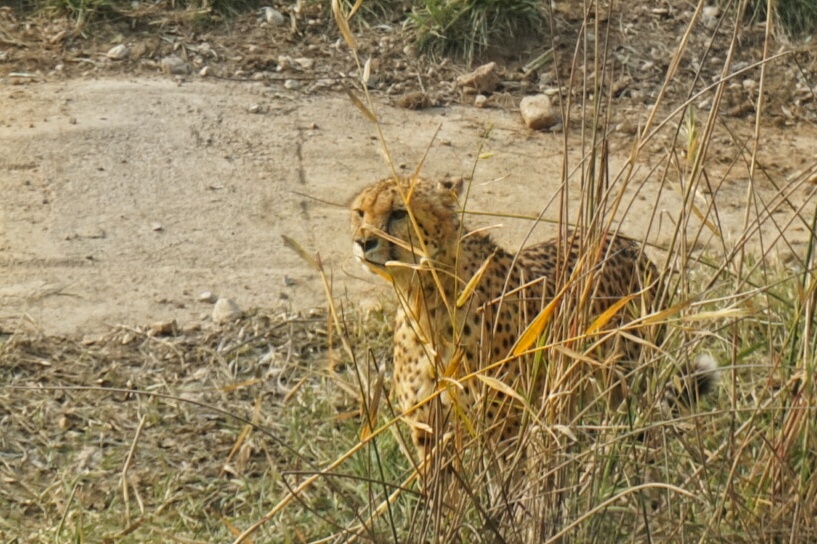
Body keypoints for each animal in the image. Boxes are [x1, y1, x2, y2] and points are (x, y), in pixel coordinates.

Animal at [350, 176, 712, 466]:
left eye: (400, 213)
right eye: (360, 213)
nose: (363, 241)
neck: (424, 294)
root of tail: (627, 242)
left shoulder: (505, 428)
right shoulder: (429, 429)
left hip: (621, 382)